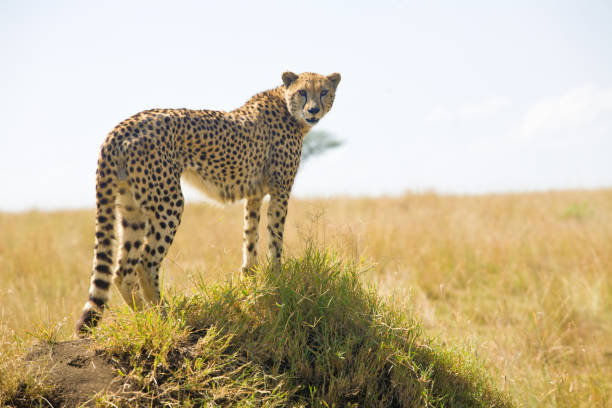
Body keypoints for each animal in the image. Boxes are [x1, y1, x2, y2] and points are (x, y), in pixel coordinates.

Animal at [75, 71, 340, 334]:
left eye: (324, 91)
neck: (287, 107)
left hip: (132, 209)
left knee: (122, 271)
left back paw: (145, 319)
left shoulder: (254, 195)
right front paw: (278, 280)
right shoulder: (280, 191)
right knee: (146, 264)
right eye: (302, 92)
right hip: (169, 203)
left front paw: (251, 280)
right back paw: (165, 317)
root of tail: (122, 126)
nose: (314, 110)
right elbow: (275, 238)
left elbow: (250, 237)